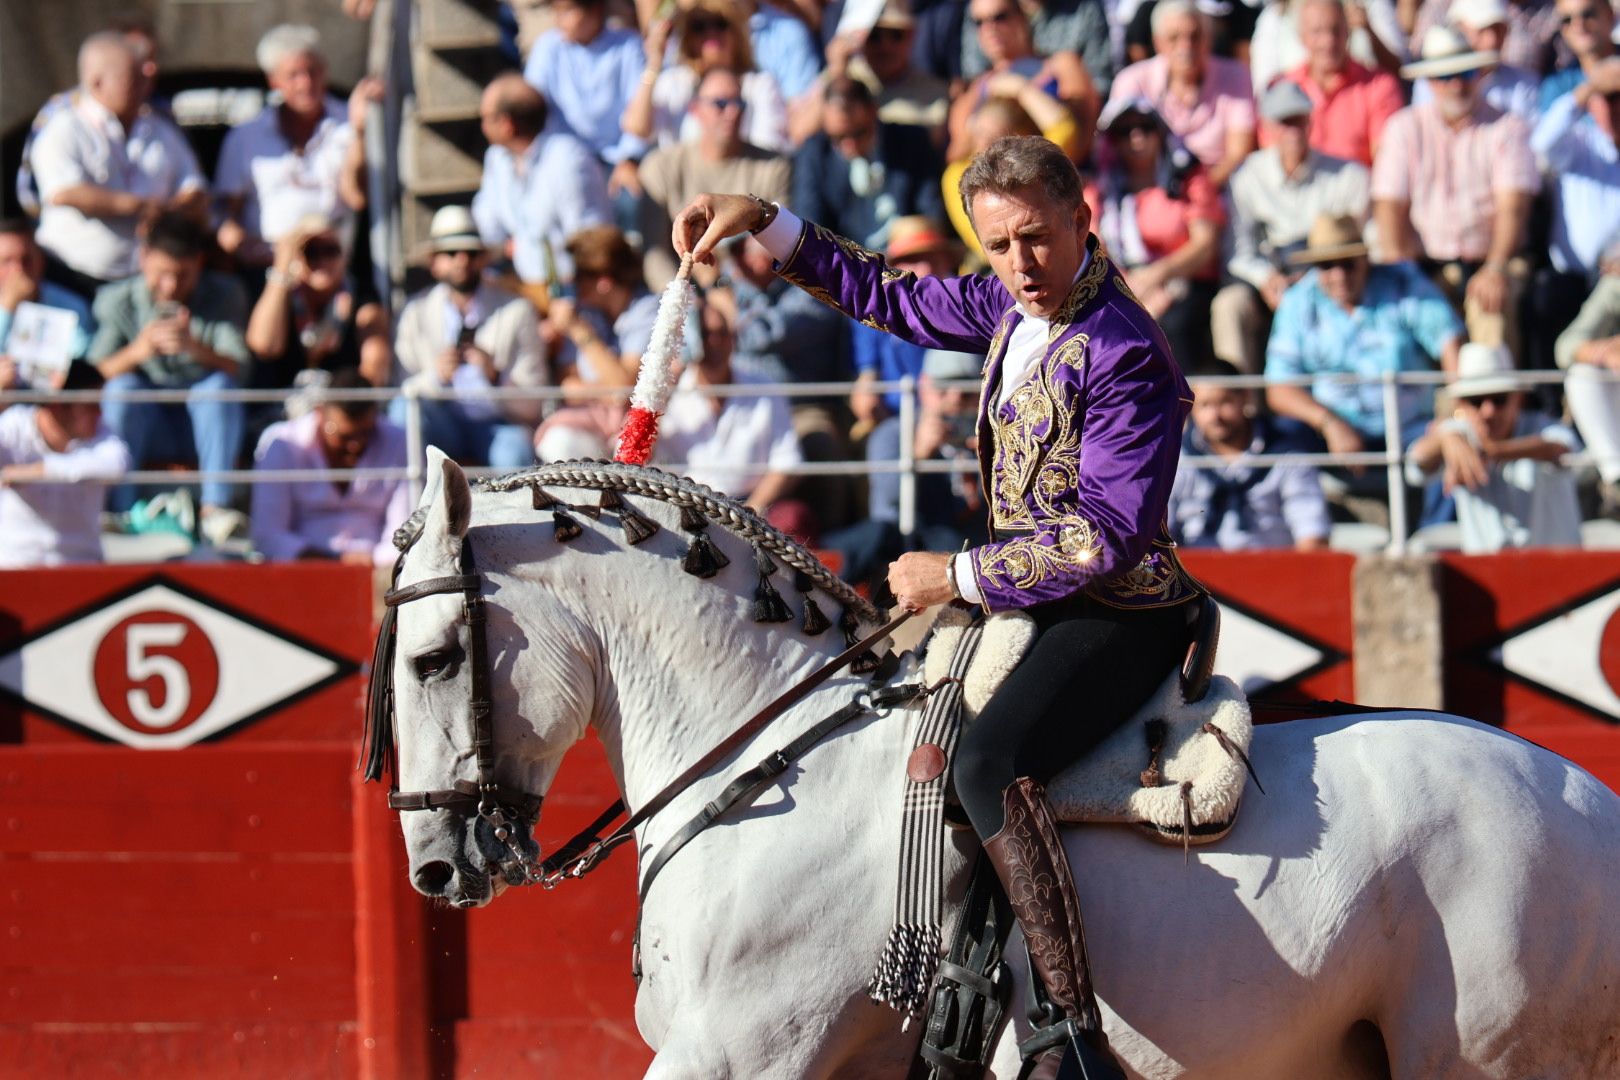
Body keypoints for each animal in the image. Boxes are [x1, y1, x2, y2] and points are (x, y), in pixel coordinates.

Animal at [375, 456, 1620, 1080]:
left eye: (432, 659)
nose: (434, 866)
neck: (771, 760)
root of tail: (1590, 798)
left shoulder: (740, 1054)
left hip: (1488, 1062)